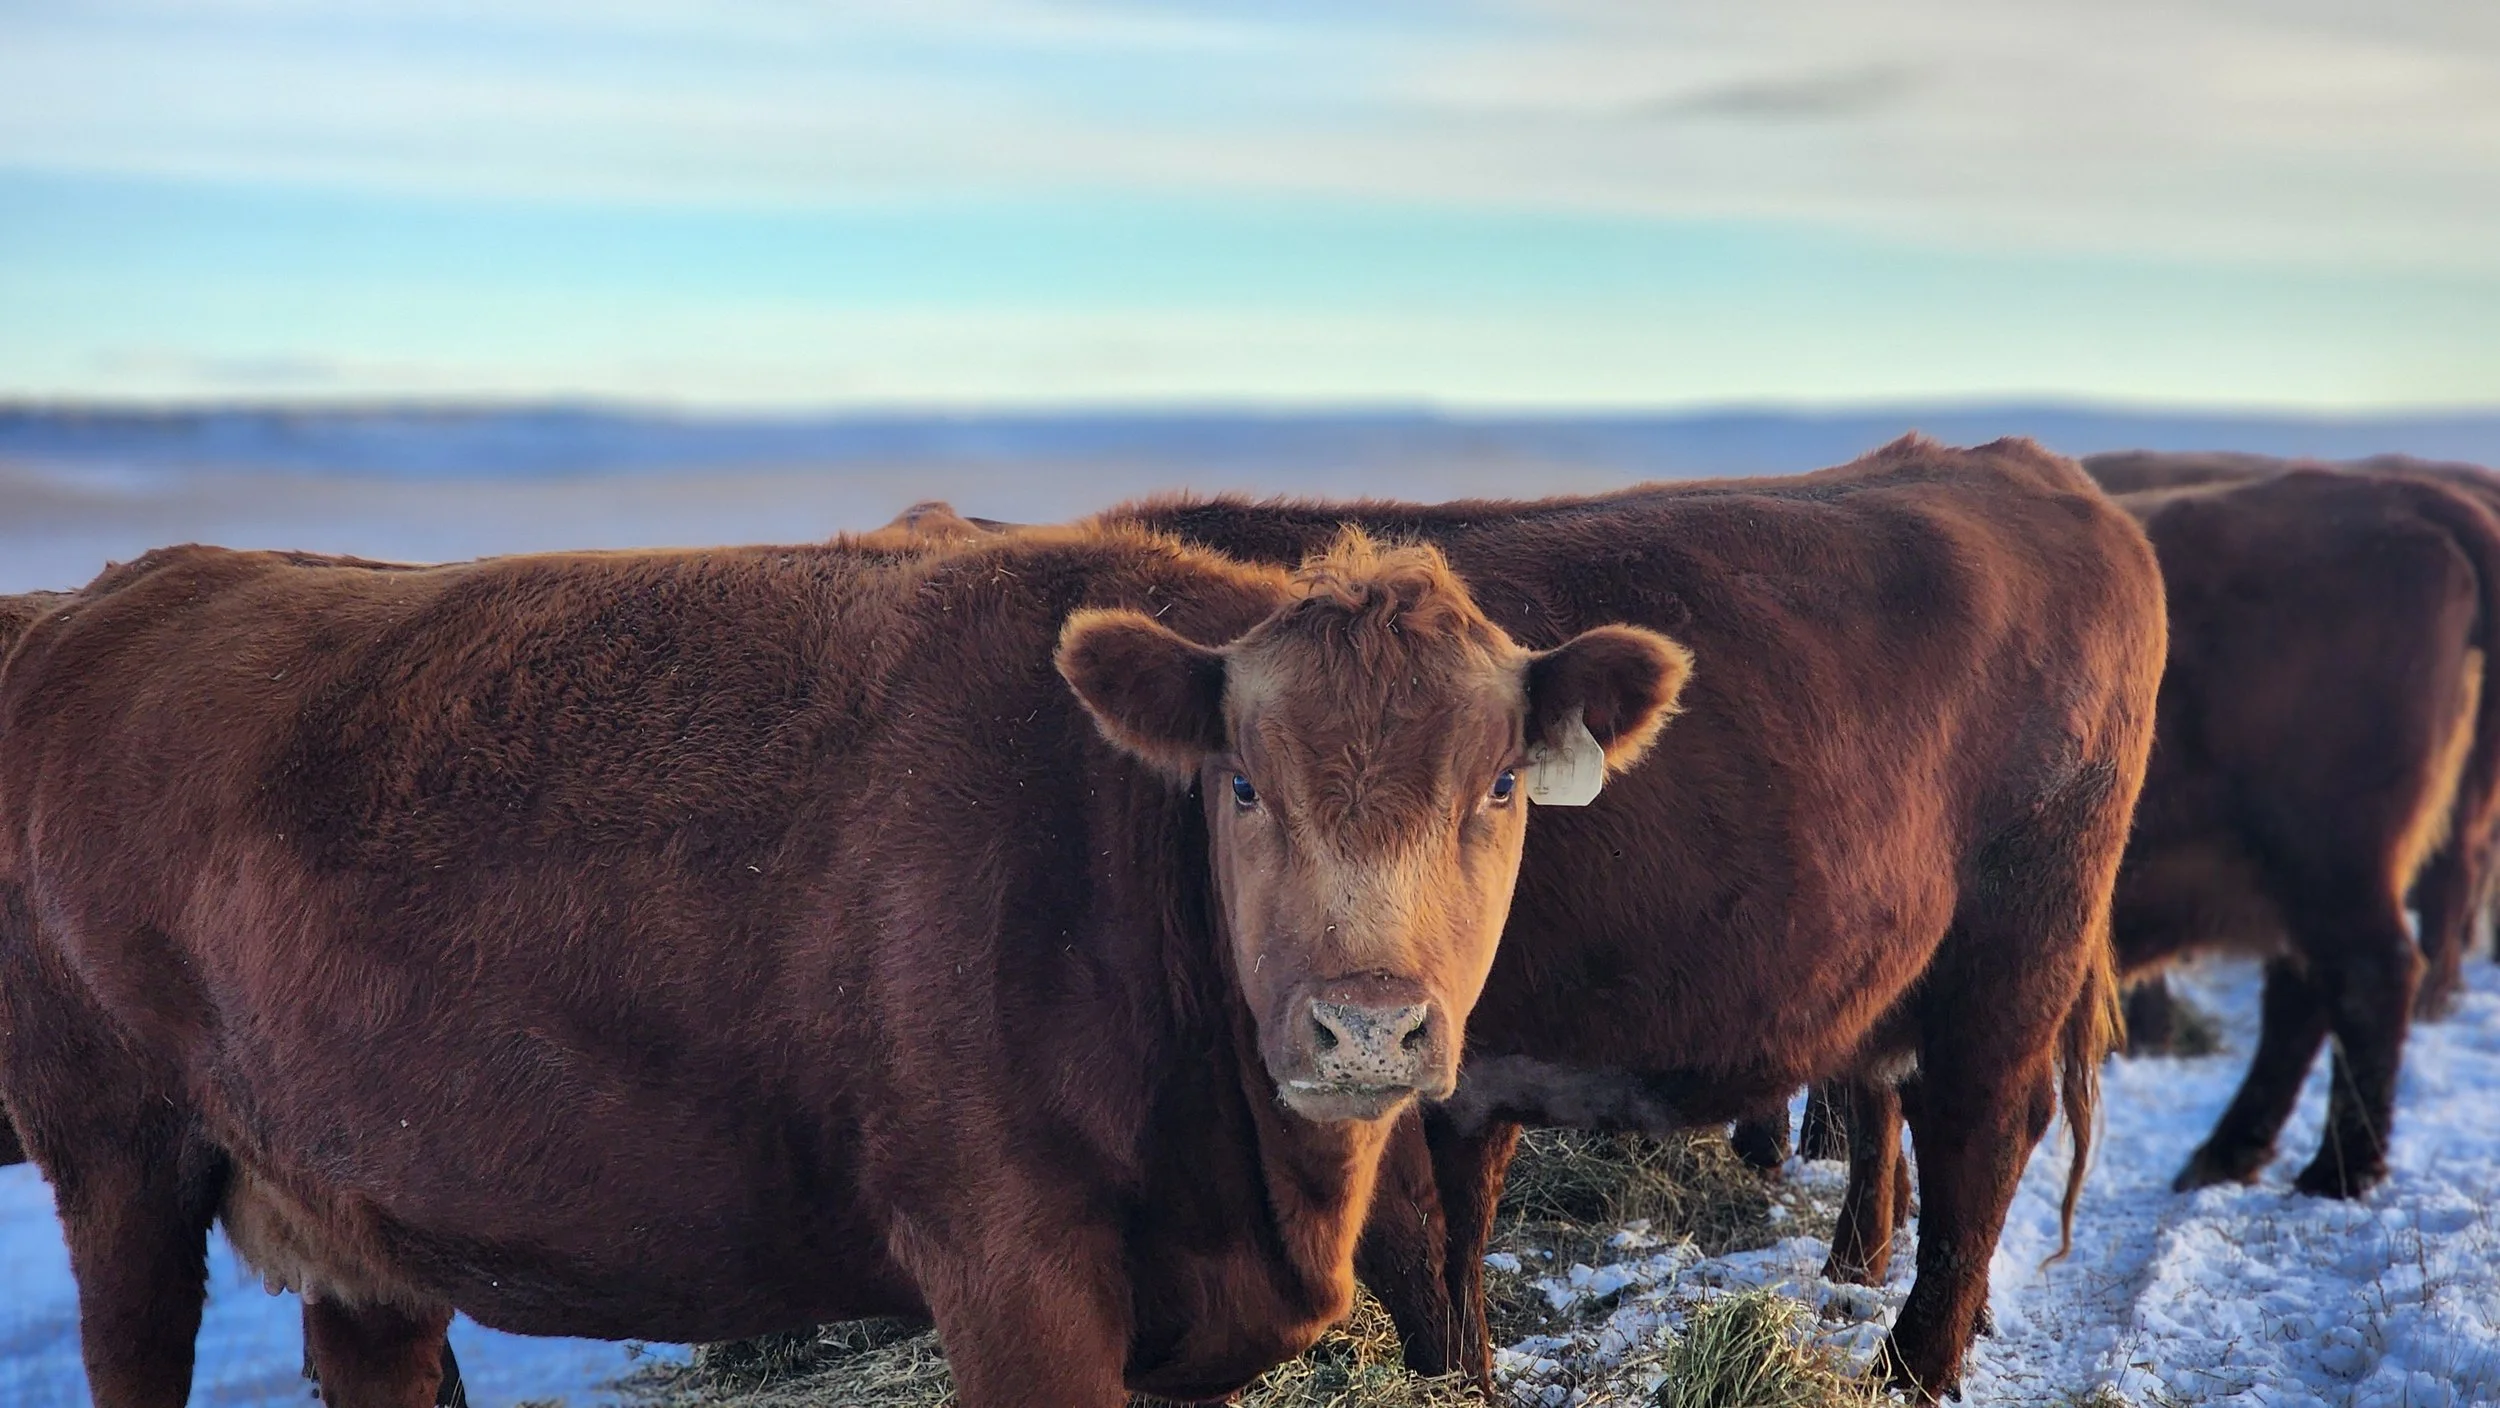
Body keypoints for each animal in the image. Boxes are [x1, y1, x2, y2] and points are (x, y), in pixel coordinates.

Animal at [0, 526, 1689, 1408]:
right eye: (1243, 786)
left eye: (1495, 785)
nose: (1365, 1030)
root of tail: (129, 588)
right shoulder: (1009, 1264)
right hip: (118, 1161)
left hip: (359, 1223)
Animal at [1067, 435, 2168, 1399]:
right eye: (1242, 784)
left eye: (1499, 785)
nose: (1366, 1014)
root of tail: (2026, 467)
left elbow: (1424, 1255)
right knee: (1893, 1105)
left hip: (2018, 947)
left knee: (1981, 1137)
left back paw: (1908, 1371)